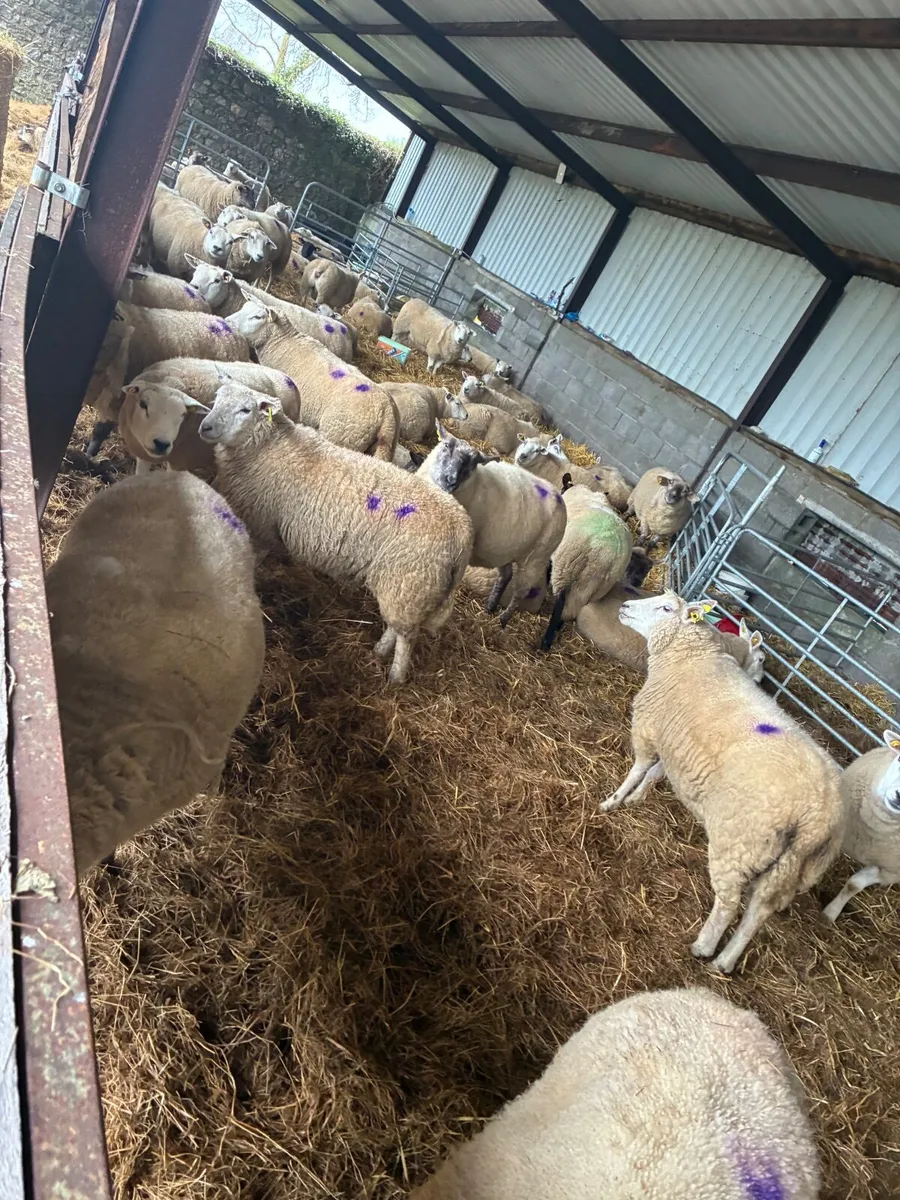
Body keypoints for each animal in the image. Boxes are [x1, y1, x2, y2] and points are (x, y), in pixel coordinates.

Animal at [113, 360, 301, 476]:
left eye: (183, 415)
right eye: (143, 404)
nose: (161, 443)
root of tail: (287, 377)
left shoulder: (180, 462)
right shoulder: (142, 454)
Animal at [199, 383, 473, 684]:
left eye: (245, 410)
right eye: (217, 399)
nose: (205, 427)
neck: (269, 447)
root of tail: (463, 531)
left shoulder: (260, 526)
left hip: (410, 582)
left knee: (406, 638)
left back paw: (395, 676)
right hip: (410, 590)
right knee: (399, 628)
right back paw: (379, 651)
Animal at [418, 427, 566, 626]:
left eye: (473, 463)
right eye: (446, 445)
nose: (450, 480)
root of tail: (559, 497)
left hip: (536, 559)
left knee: (521, 591)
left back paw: (503, 620)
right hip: (506, 550)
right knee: (506, 574)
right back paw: (490, 606)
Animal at [541, 485, 632, 651]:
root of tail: (609, 554)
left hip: (568, 571)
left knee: (562, 604)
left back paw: (546, 641)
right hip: (594, 586)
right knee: (571, 610)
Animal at [602, 591, 845, 974]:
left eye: (666, 608)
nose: (624, 606)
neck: (691, 654)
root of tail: (820, 813)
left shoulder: (649, 725)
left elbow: (639, 768)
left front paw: (614, 799)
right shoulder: (678, 746)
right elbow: (656, 773)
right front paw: (636, 798)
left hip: (740, 843)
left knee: (729, 904)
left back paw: (703, 946)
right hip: (788, 864)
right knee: (759, 911)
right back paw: (726, 961)